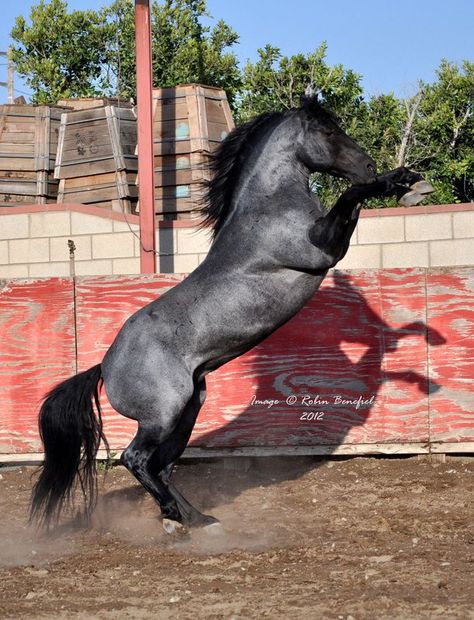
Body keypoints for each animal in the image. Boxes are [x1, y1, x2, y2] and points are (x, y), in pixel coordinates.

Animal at [32, 94, 422, 532]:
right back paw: (175, 516)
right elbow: (351, 197)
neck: (269, 206)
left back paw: (196, 519)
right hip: (163, 414)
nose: (368, 165)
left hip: (188, 410)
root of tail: (104, 365)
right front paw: (390, 182)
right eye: (327, 130)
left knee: (161, 466)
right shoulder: (323, 249)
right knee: (137, 459)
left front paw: (403, 179)